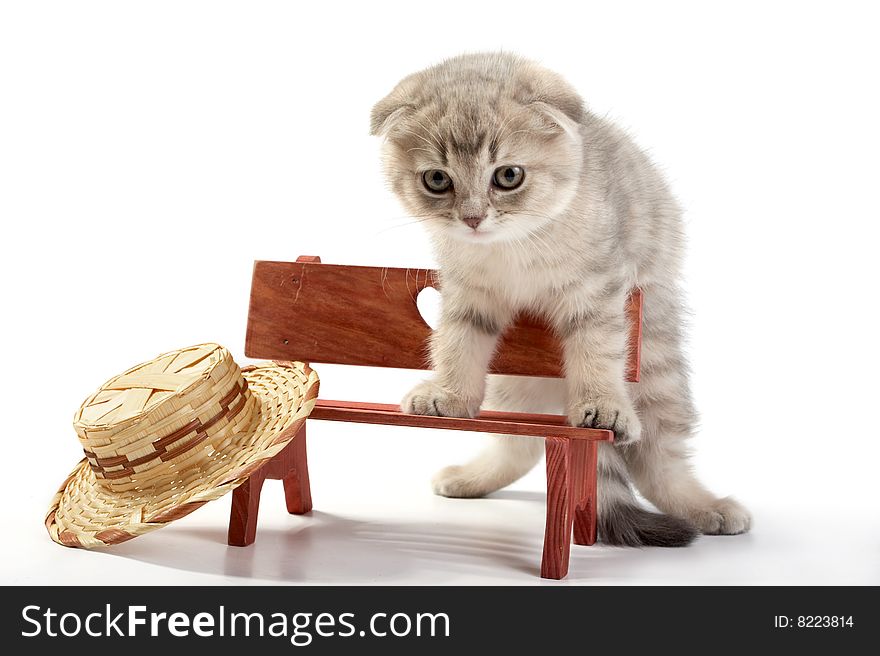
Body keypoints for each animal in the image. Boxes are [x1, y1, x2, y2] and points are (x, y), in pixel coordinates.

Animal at [370, 51, 748, 544]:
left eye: (508, 176)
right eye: (437, 179)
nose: (472, 218)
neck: (512, 246)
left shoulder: (598, 291)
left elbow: (596, 353)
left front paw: (602, 405)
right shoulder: (467, 293)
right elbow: (457, 341)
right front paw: (450, 393)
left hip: (655, 357)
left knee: (660, 457)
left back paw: (705, 507)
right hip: (512, 379)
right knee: (520, 443)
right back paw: (473, 477)